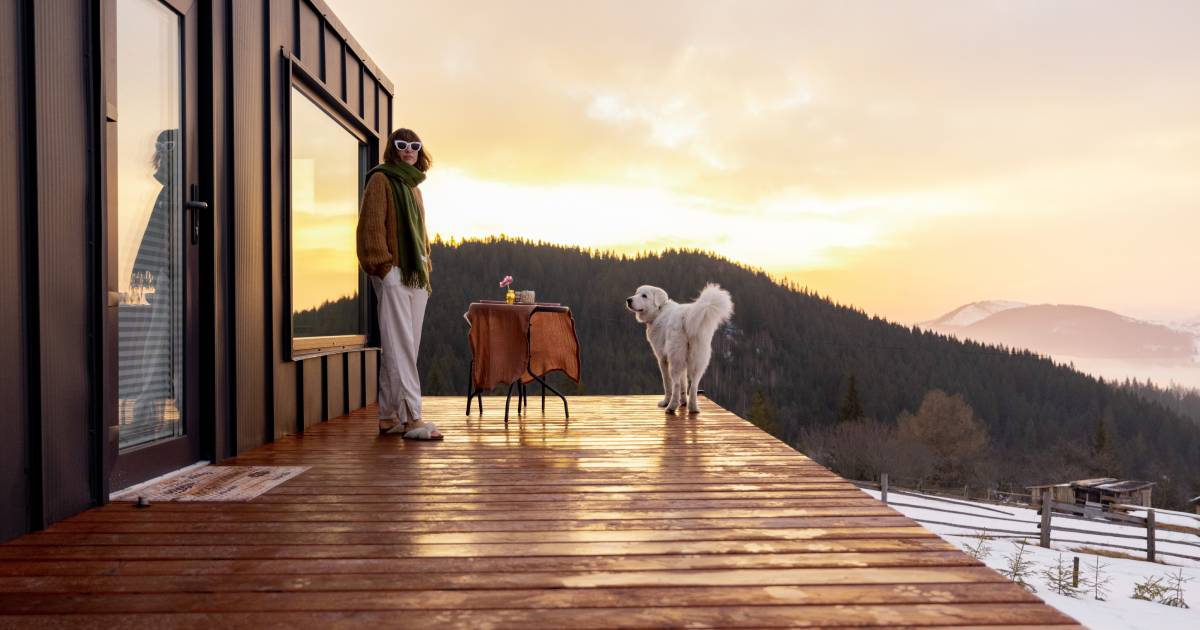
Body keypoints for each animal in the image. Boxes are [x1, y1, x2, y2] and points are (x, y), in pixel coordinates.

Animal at [628, 283, 729, 412]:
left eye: (644, 296)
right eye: (636, 293)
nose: (628, 300)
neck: (659, 311)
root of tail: (686, 316)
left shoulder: (662, 359)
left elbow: (667, 384)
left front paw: (665, 402)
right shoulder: (685, 363)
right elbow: (684, 383)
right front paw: (684, 402)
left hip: (675, 359)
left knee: (675, 384)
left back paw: (671, 406)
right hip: (697, 360)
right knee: (694, 385)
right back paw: (693, 408)